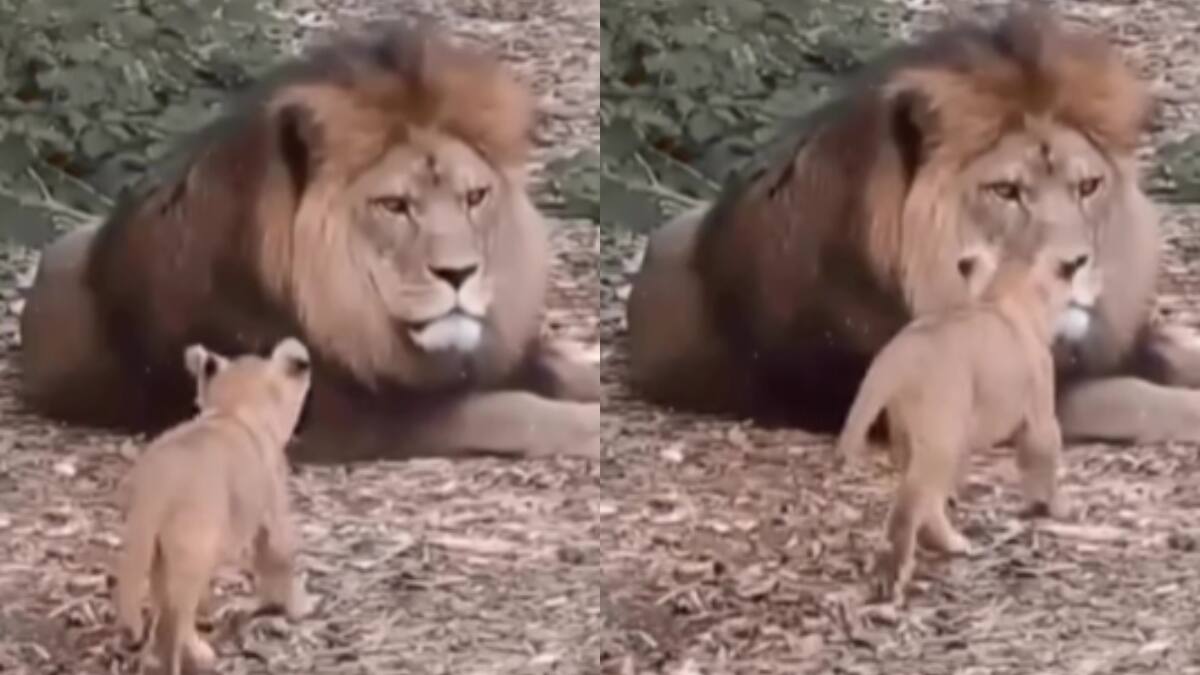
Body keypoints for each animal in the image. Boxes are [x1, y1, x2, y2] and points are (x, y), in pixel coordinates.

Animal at [115, 337, 312, 675]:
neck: (234, 410)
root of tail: (156, 484)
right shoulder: (273, 513)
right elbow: (280, 558)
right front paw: (297, 607)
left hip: (155, 550)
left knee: (161, 605)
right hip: (193, 550)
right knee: (177, 616)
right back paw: (197, 653)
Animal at [835, 242, 1099, 601]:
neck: (1005, 297)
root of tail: (894, 355)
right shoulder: (1040, 419)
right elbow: (1044, 463)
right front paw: (1059, 508)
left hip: (916, 437)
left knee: (927, 500)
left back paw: (948, 543)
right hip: (942, 437)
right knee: (910, 505)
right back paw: (895, 573)